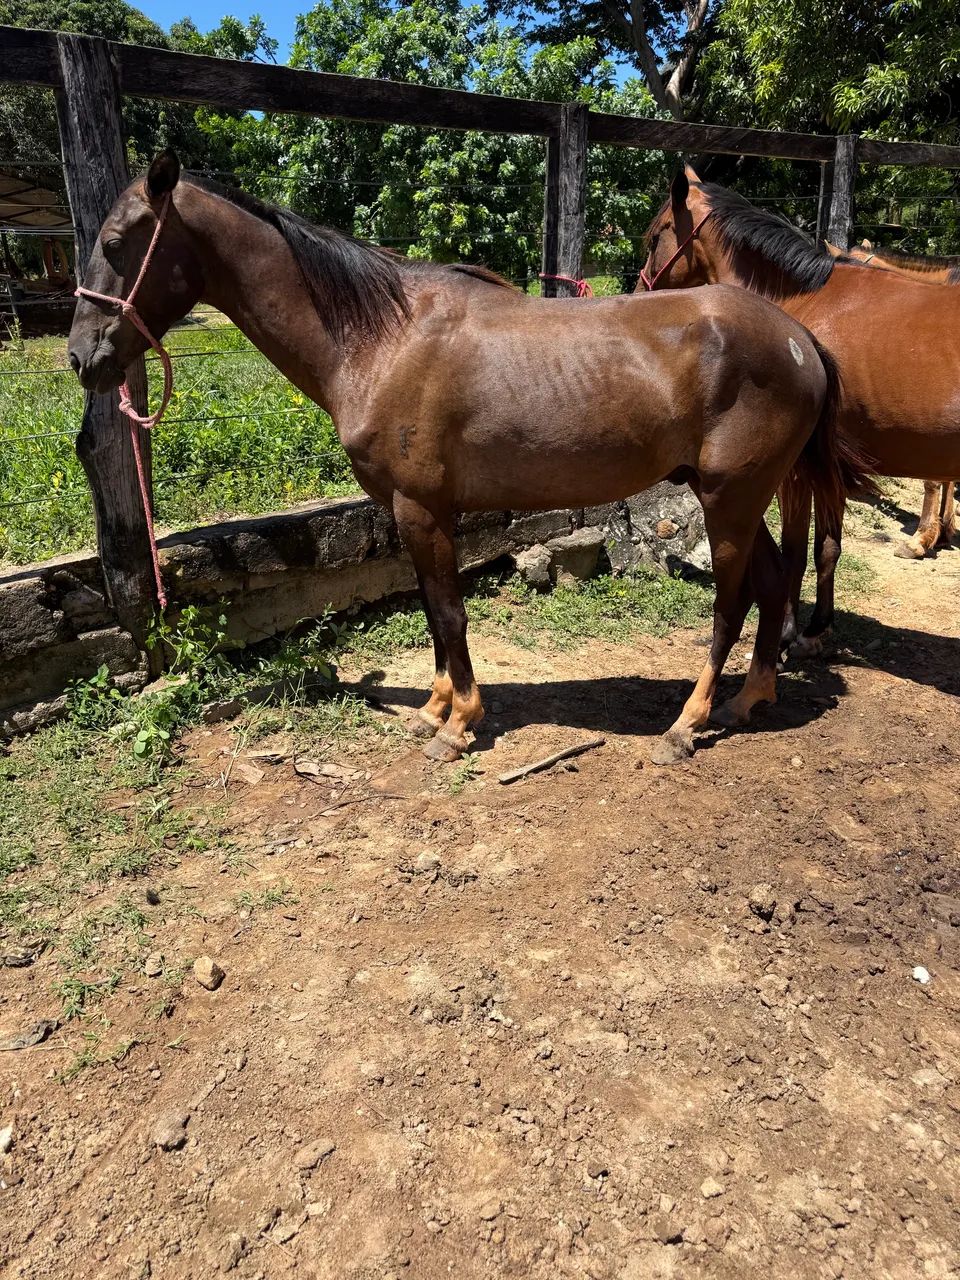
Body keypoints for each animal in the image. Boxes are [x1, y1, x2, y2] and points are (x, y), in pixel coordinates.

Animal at [68, 150, 870, 766]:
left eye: (116, 241)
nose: (81, 358)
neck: (381, 340)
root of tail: (799, 339)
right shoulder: (412, 514)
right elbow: (432, 611)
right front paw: (435, 706)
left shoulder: (423, 510)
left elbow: (449, 614)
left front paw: (458, 725)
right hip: (734, 496)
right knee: (774, 580)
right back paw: (751, 698)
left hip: (729, 500)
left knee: (731, 602)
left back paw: (687, 724)